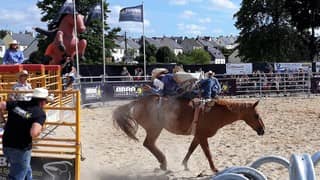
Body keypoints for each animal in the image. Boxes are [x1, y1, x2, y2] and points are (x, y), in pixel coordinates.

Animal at [112, 95, 264, 172]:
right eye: (256, 115)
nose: (263, 130)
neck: (213, 112)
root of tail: (136, 102)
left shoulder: (197, 136)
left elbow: (191, 149)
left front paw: (184, 165)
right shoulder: (202, 137)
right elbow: (208, 153)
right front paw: (215, 169)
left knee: (149, 144)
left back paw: (163, 164)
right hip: (154, 129)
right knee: (148, 144)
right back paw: (164, 163)